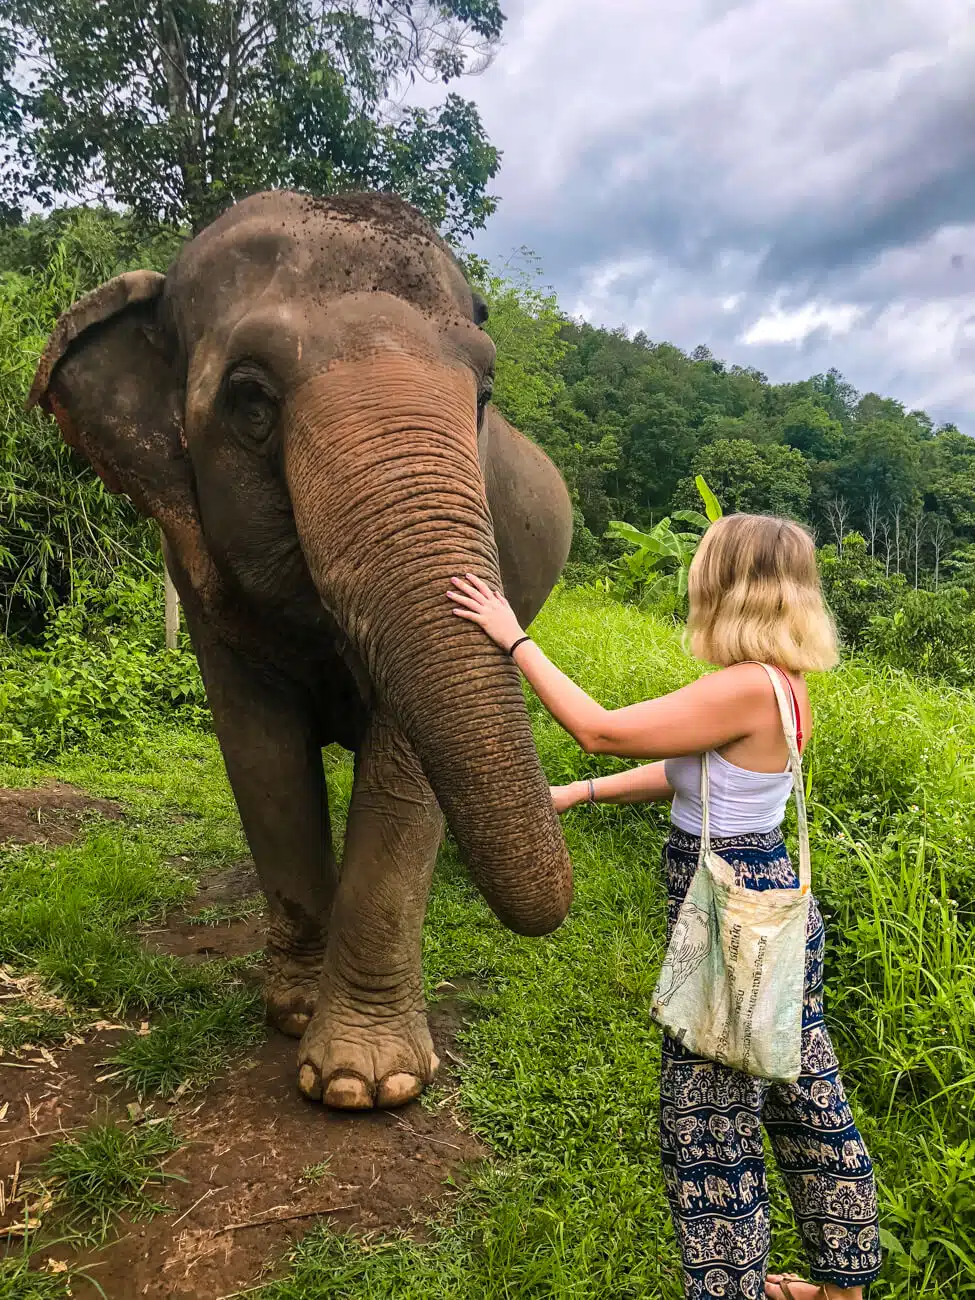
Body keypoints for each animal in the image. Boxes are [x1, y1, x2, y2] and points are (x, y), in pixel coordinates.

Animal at [29, 190, 574, 1111]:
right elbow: (262, 755)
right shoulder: (198, 567)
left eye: (483, 392)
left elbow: (403, 770)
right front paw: (292, 1016)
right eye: (251, 402)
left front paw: (366, 1085)